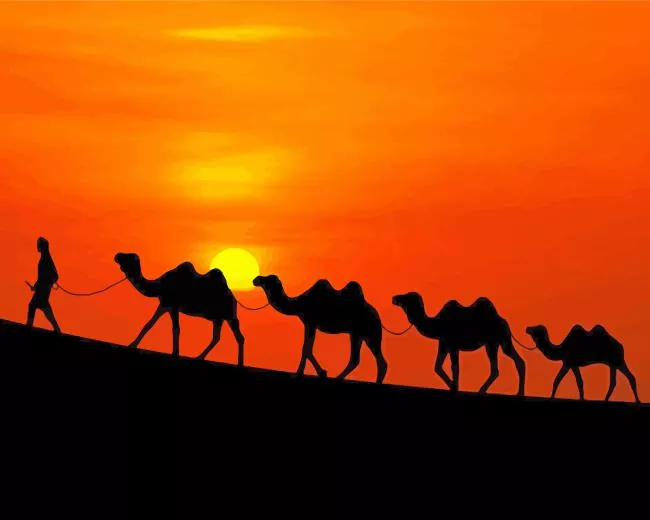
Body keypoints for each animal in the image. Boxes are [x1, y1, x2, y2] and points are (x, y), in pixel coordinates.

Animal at [114, 253, 245, 364]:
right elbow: (149, 324)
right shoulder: (164, 306)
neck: (160, 285)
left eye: (128, 257)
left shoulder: (174, 306)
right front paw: (132, 344)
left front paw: (175, 353)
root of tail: (233, 297)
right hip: (220, 318)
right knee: (218, 337)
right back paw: (200, 357)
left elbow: (176, 329)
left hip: (230, 314)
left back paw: (239, 363)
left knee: (238, 337)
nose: (117, 255)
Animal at [252, 275, 388, 383]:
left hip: (363, 333)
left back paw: (340, 378)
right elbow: (306, 348)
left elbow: (306, 349)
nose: (256, 279)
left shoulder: (311, 323)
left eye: (268, 279)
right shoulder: (308, 324)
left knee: (361, 359)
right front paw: (310, 373)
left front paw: (309, 373)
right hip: (362, 336)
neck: (299, 303)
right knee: (369, 360)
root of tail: (377, 316)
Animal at [392, 292, 526, 396]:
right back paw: (519, 393)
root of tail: (504, 322)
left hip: (494, 343)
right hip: (500, 343)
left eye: (408, 297)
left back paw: (483, 390)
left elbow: (454, 367)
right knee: (517, 362)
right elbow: (437, 367)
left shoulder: (452, 346)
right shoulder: (443, 345)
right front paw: (452, 386)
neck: (438, 325)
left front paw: (454, 387)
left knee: (498, 368)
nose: (394, 298)